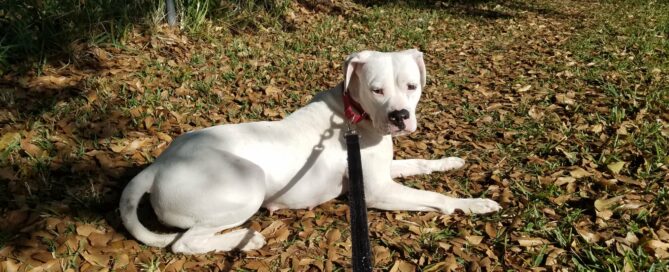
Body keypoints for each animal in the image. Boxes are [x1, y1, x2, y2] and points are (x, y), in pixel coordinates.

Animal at [120, 49, 498, 255]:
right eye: (376, 90)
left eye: (412, 86)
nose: (399, 116)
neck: (354, 114)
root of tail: (158, 166)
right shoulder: (377, 193)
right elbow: (436, 197)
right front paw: (474, 204)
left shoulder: (382, 172)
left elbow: (420, 163)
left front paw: (450, 161)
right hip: (248, 182)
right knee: (184, 243)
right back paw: (245, 240)